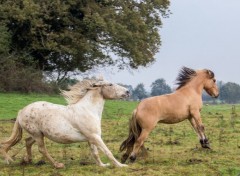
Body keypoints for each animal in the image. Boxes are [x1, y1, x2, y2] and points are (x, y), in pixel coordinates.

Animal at [0, 78, 129, 168]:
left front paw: (103, 165)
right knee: (42, 149)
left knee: (27, 142)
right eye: (110, 84)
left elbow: (95, 153)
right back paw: (57, 165)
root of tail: (22, 111)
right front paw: (121, 165)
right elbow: (107, 152)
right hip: (37, 134)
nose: (127, 92)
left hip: (38, 134)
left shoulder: (91, 138)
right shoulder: (95, 137)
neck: (88, 110)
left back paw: (27, 160)